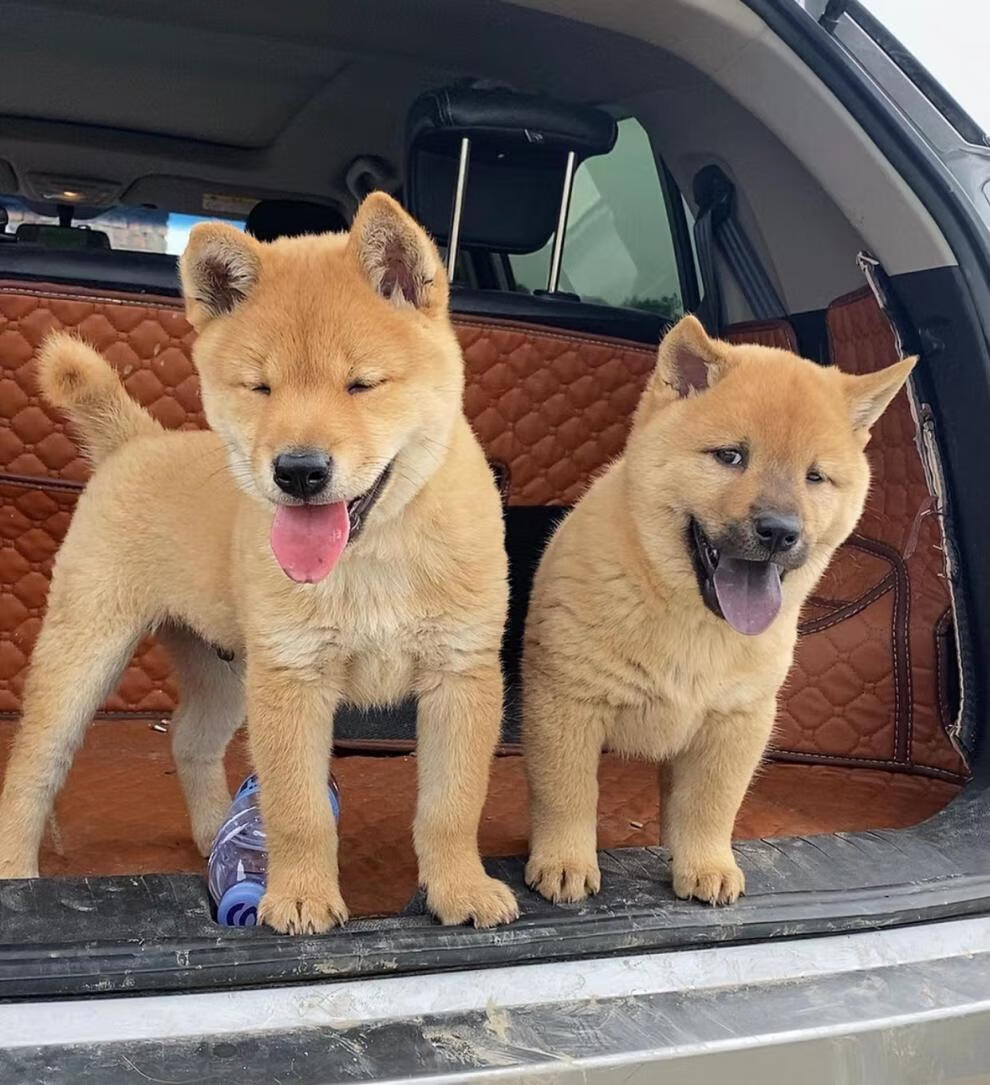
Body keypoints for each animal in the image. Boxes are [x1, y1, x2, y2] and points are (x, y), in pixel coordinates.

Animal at [0, 188, 518, 933]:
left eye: (361, 384)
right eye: (260, 388)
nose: (299, 471)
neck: (373, 555)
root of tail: (137, 442)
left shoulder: (461, 673)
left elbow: (452, 805)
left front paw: (461, 888)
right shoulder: (293, 677)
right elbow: (299, 808)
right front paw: (299, 894)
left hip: (224, 669)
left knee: (189, 739)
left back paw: (220, 832)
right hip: (85, 653)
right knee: (32, 767)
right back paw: (18, 876)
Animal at [521, 316, 916, 907]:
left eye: (815, 477)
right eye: (731, 457)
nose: (779, 531)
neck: (693, 624)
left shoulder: (737, 720)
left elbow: (711, 804)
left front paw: (705, 865)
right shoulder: (567, 703)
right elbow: (566, 793)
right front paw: (564, 862)